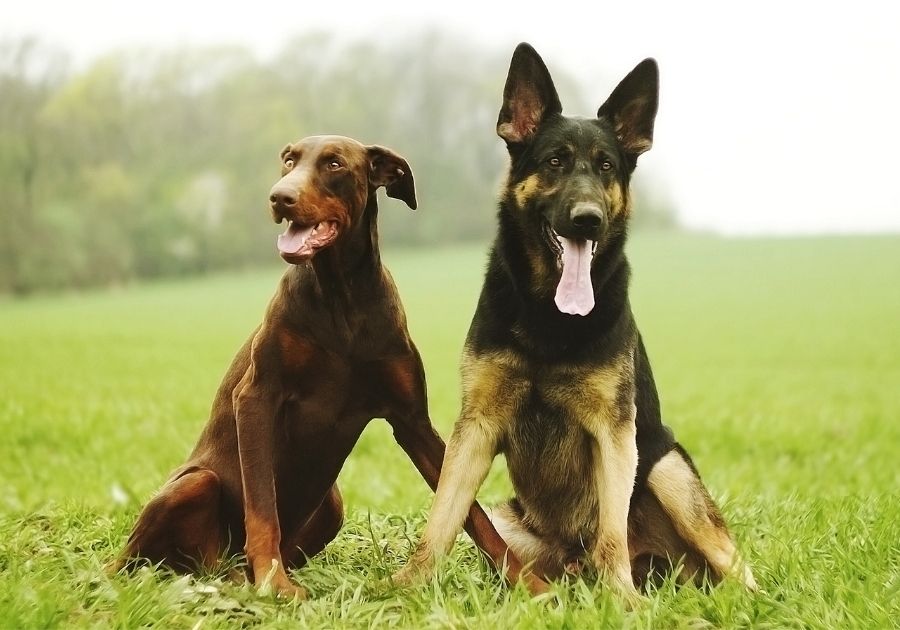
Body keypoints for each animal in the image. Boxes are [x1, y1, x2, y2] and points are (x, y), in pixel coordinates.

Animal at [116, 136, 544, 600]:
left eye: (334, 163)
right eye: (289, 161)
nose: (279, 197)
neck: (342, 299)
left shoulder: (412, 420)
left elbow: (473, 514)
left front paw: (530, 582)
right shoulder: (256, 396)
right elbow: (261, 507)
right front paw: (274, 583)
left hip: (331, 507)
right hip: (195, 485)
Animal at [398, 44, 756, 604]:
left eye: (607, 166)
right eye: (554, 162)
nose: (588, 219)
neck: (549, 315)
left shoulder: (613, 433)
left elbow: (610, 533)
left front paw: (624, 603)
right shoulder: (476, 427)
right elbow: (442, 517)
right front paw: (407, 586)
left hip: (668, 469)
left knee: (734, 568)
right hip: (509, 524)